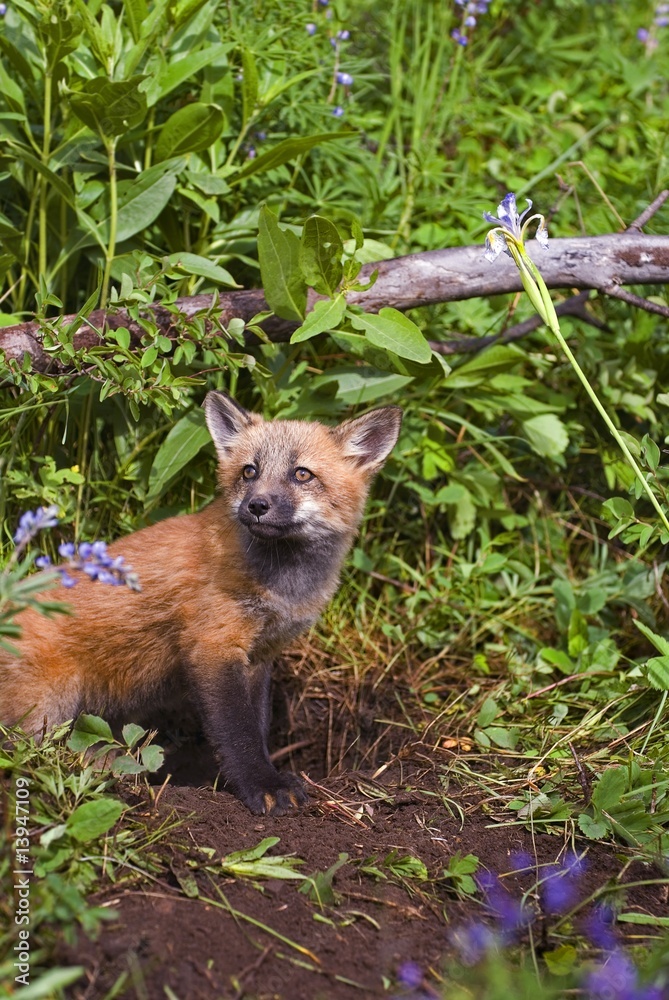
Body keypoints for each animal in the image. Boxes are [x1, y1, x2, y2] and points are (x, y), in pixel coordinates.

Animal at [0, 392, 402, 815]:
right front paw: (263, 785)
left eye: (302, 474)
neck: (282, 585)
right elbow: (237, 733)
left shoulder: (259, 657)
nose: (256, 505)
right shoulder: (213, 646)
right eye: (249, 472)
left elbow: (256, 726)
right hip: (49, 709)